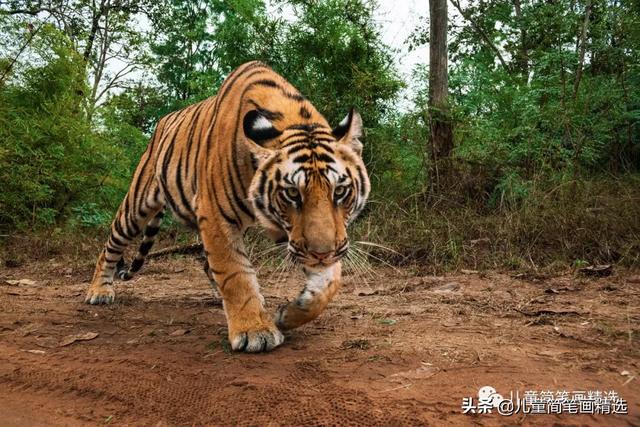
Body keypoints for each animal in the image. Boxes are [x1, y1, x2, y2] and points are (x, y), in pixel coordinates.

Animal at [85, 61, 371, 353]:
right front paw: (255, 331)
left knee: (205, 262)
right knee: (111, 245)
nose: (322, 254)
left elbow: (329, 282)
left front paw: (290, 314)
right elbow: (236, 274)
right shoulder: (216, 216)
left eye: (340, 191)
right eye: (292, 193)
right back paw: (99, 291)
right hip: (137, 206)